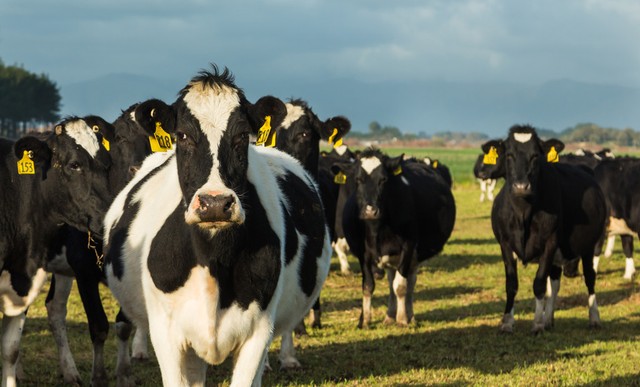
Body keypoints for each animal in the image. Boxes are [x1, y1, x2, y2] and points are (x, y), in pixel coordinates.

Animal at [102, 66, 332, 384]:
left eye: (243, 135)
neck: (213, 258)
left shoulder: (259, 331)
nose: (214, 203)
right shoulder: (166, 334)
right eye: (182, 135)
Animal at [340, 147, 456, 328]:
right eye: (358, 179)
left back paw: (409, 317)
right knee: (390, 282)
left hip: (414, 256)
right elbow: (368, 285)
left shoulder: (408, 247)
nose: (370, 211)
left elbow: (401, 286)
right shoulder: (362, 253)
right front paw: (365, 320)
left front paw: (402, 319)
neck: (376, 229)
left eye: (383, 179)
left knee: (409, 283)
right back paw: (389, 316)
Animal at [488, 125, 608, 334]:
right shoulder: (505, 244)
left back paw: (594, 317)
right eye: (509, 155)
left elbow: (539, 284)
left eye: (536, 156)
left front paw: (536, 324)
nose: (521, 186)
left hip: (588, 246)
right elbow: (512, 284)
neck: (523, 213)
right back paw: (548, 319)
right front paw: (507, 322)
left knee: (589, 278)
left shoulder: (550, 242)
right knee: (555, 281)